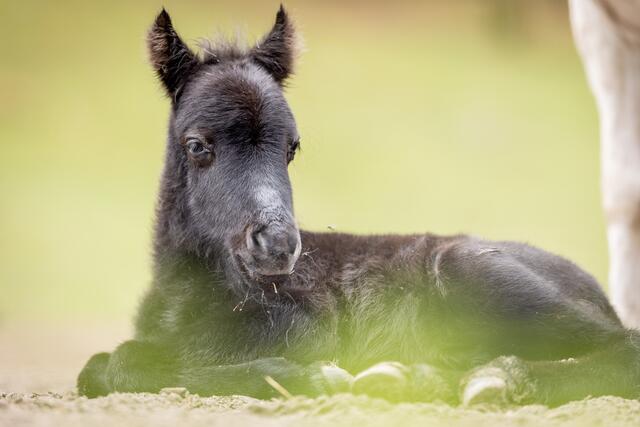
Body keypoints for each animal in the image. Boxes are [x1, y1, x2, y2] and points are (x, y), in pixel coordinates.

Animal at [77, 6, 640, 406]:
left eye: (292, 147)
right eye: (197, 145)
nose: (277, 246)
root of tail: (596, 292)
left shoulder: (302, 328)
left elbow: (136, 361)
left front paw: (311, 378)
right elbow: (102, 366)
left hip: (477, 273)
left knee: (623, 348)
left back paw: (494, 379)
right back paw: (410, 377)